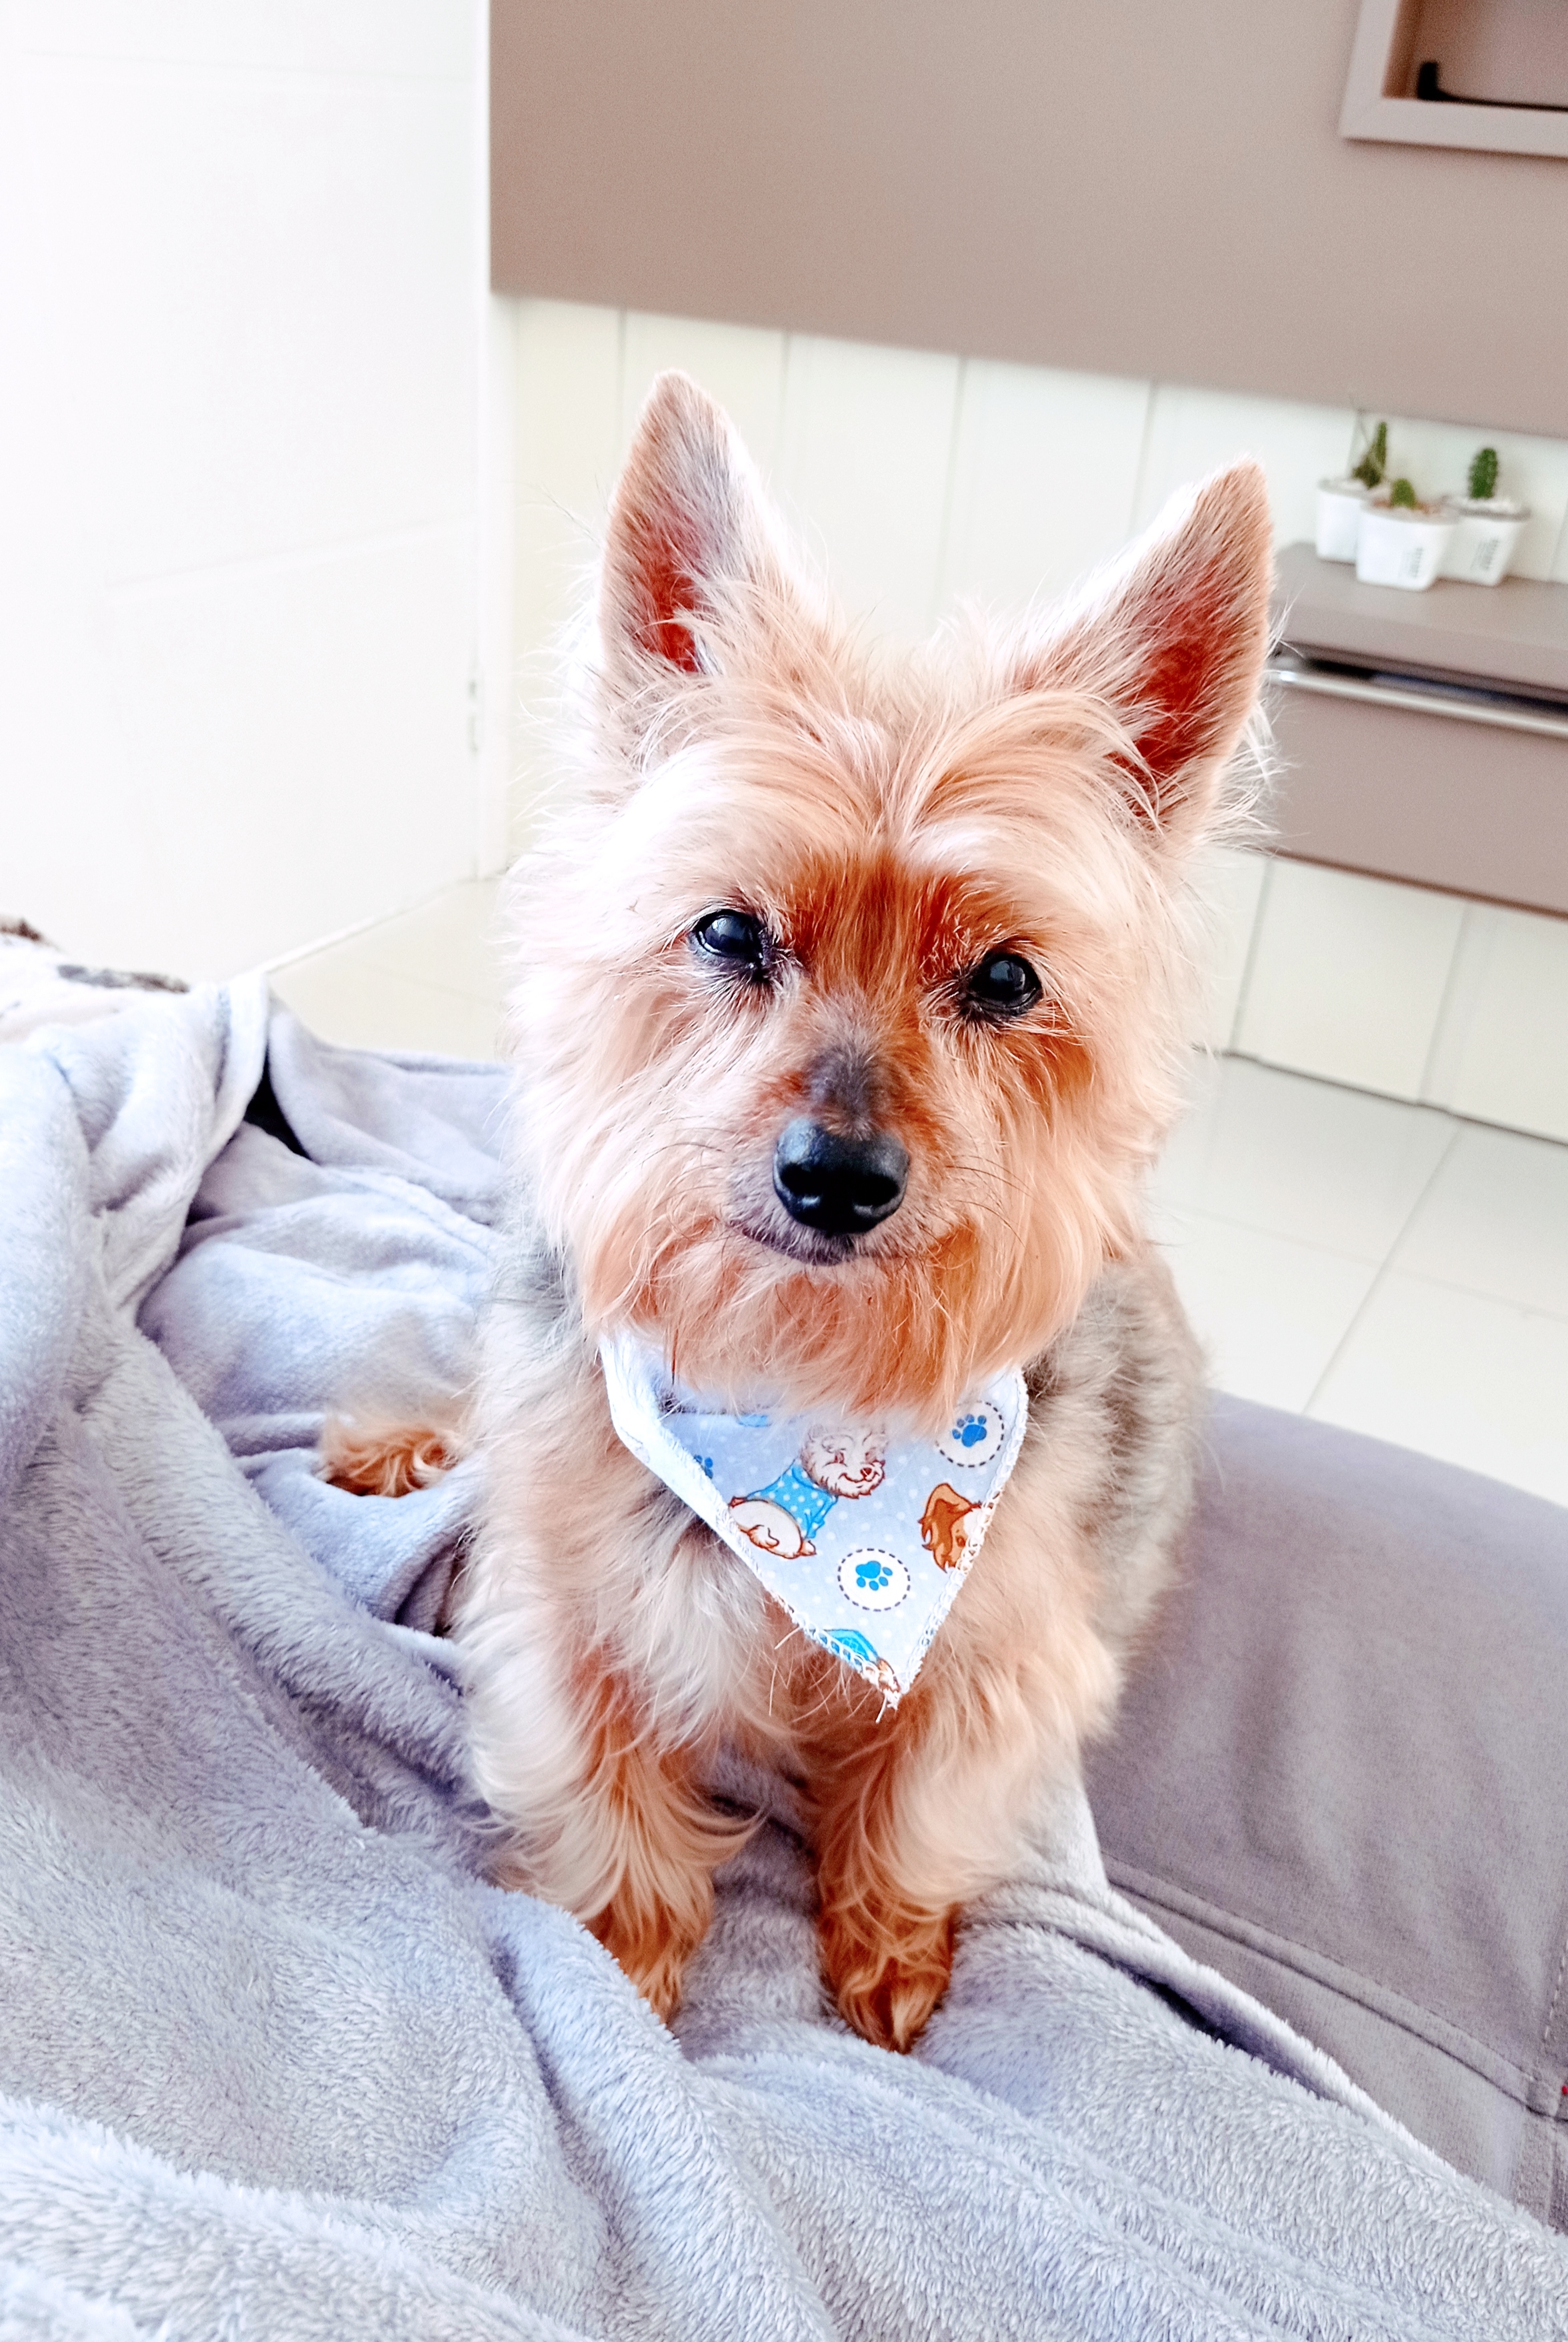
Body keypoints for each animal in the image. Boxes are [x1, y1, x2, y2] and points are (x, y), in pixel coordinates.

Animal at [324, 370, 1271, 2052]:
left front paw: (888, 1945)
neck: (801, 1379)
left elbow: (923, 1794)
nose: (837, 1175)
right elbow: (602, 1783)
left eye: (1007, 977)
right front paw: (626, 1963)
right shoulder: (564, 1600)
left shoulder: (1002, 1648)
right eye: (727, 931)